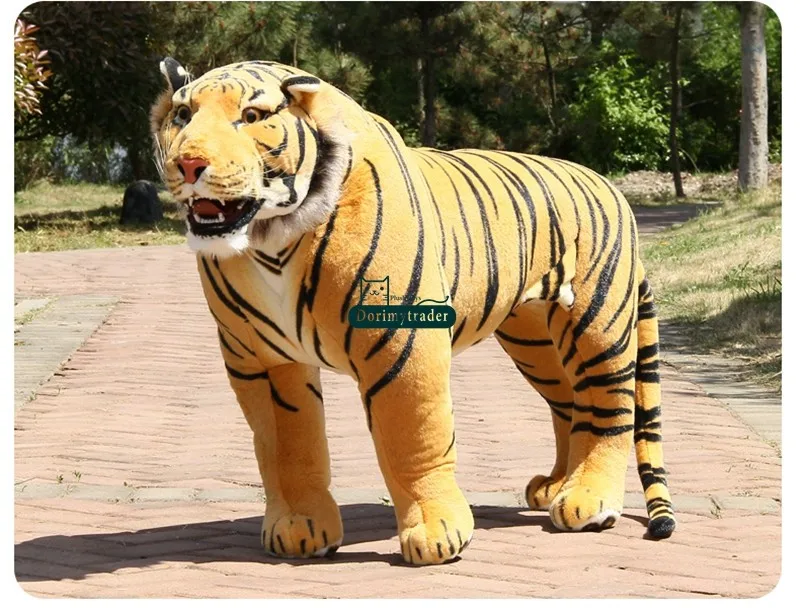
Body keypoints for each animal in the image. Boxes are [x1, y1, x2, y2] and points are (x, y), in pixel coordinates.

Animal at [150, 57, 676, 565]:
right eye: (183, 115)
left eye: (253, 116)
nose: (189, 163)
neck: (271, 238)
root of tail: (608, 186)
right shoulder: (263, 359)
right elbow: (284, 445)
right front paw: (299, 527)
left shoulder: (401, 343)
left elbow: (413, 439)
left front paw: (437, 533)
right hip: (534, 341)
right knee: (569, 405)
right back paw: (553, 487)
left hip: (596, 326)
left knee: (608, 409)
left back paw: (586, 499)